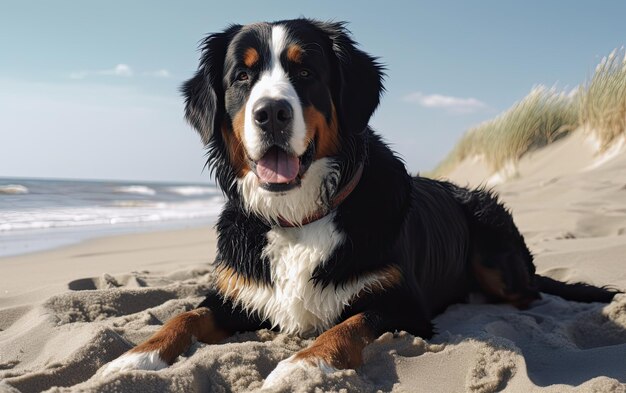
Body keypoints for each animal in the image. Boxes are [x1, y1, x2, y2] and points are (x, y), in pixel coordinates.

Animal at [101, 17, 616, 386]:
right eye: (242, 76)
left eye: (305, 72)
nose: (271, 113)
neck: (299, 218)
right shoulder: (237, 293)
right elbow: (185, 314)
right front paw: (132, 359)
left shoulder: (402, 303)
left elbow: (346, 325)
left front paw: (300, 367)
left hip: (495, 252)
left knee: (529, 292)